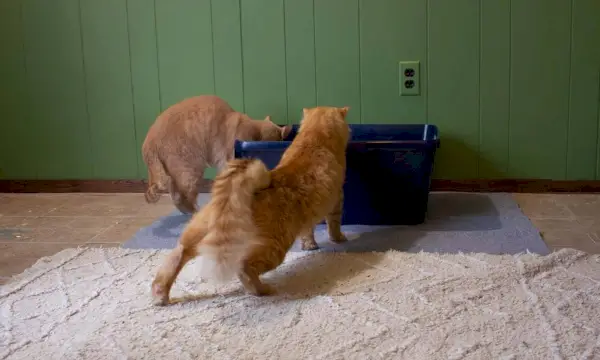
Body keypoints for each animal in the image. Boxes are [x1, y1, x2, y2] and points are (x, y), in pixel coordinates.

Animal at [141, 94, 290, 215]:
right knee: (183, 196)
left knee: (175, 195)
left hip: (175, 172)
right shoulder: (229, 158)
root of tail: (148, 142)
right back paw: (195, 212)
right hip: (189, 168)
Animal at [150, 105, 354, 306]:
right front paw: (338, 239)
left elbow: (308, 232)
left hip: (195, 237)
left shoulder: (310, 216)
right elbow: (334, 225)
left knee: (175, 258)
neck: (314, 139)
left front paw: (310, 245)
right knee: (244, 268)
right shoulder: (337, 200)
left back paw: (160, 295)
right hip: (273, 248)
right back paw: (261, 290)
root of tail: (235, 194)